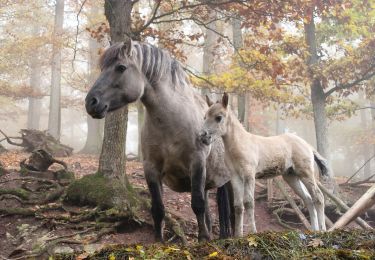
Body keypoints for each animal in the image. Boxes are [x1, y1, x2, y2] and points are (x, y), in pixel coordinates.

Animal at [85, 40, 232, 242]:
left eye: (121, 67)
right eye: (102, 68)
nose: (91, 102)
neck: (171, 122)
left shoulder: (197, 163)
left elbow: (197, 204)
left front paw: (203, 239)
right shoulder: (151, 168)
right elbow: (158, 208)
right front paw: (159, 240)